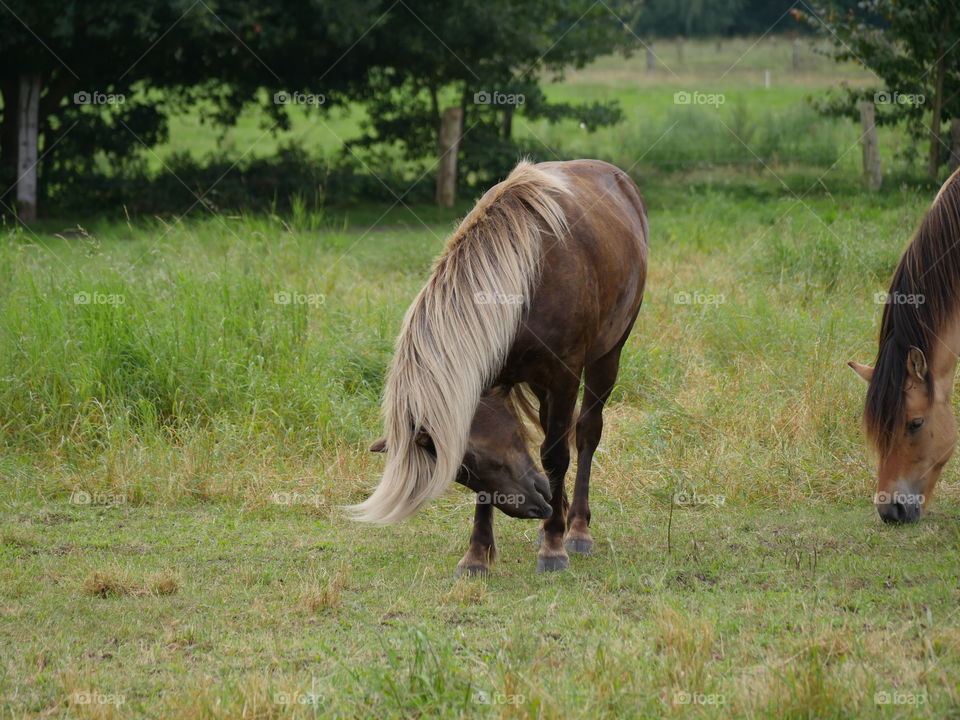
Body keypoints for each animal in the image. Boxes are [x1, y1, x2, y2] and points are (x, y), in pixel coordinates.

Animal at [348, 159, 648, 572]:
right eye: (467, 468)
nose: (537, 505)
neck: (524, 282)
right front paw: (478, 553)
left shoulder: (564, 376)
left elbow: (556, 455)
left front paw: (553, 546)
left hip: (608, 355)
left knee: (585, 433)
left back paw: (575, 527)